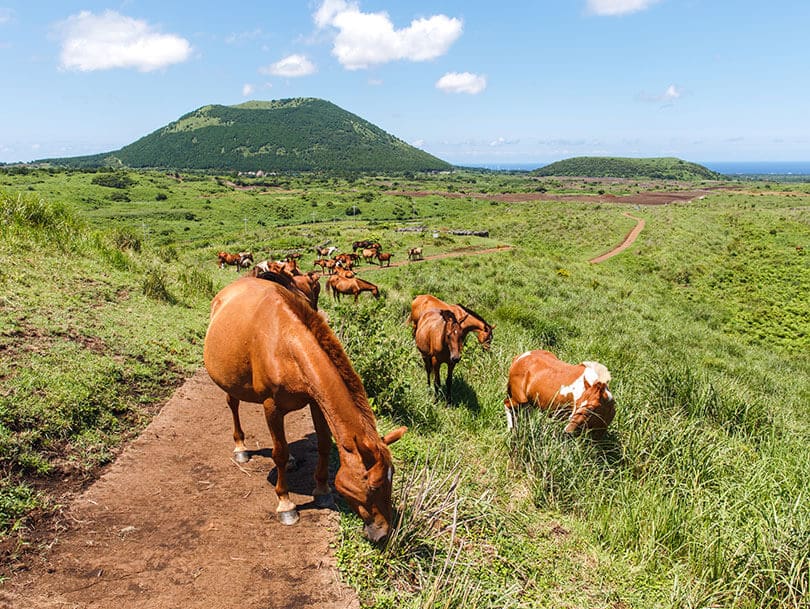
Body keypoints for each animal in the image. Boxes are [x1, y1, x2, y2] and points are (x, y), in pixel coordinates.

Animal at [202, 274, 404, 540]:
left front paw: (322, 489)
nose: (383, 533)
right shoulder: (271, 407)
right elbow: (279, 452)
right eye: (373, 486)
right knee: (233, 404)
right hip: (229, 381)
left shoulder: (316, 403)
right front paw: (285, 504)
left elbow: (323, 444)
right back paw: (241, 448)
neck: (286, 345)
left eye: (391, 480)